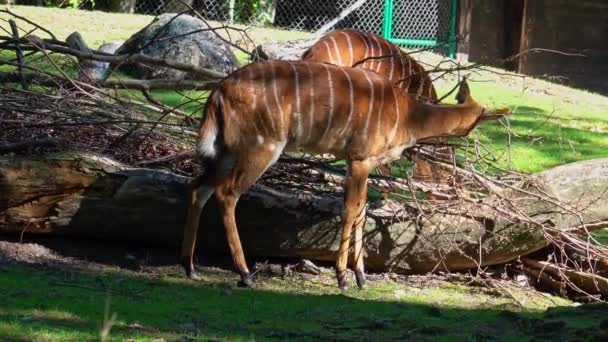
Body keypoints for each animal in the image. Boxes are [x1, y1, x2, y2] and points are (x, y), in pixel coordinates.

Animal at [180, 60, 508, 290]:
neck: (408, 116)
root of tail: (219, 91)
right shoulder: (361, 158)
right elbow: (351, 211)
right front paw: (342, 277)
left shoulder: (358, 163)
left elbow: (362, 211)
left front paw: (361, 277)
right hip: (261, 146)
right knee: (226, 193)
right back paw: (245, 273)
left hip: (227, 151)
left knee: (198, 187)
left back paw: (189, 267)